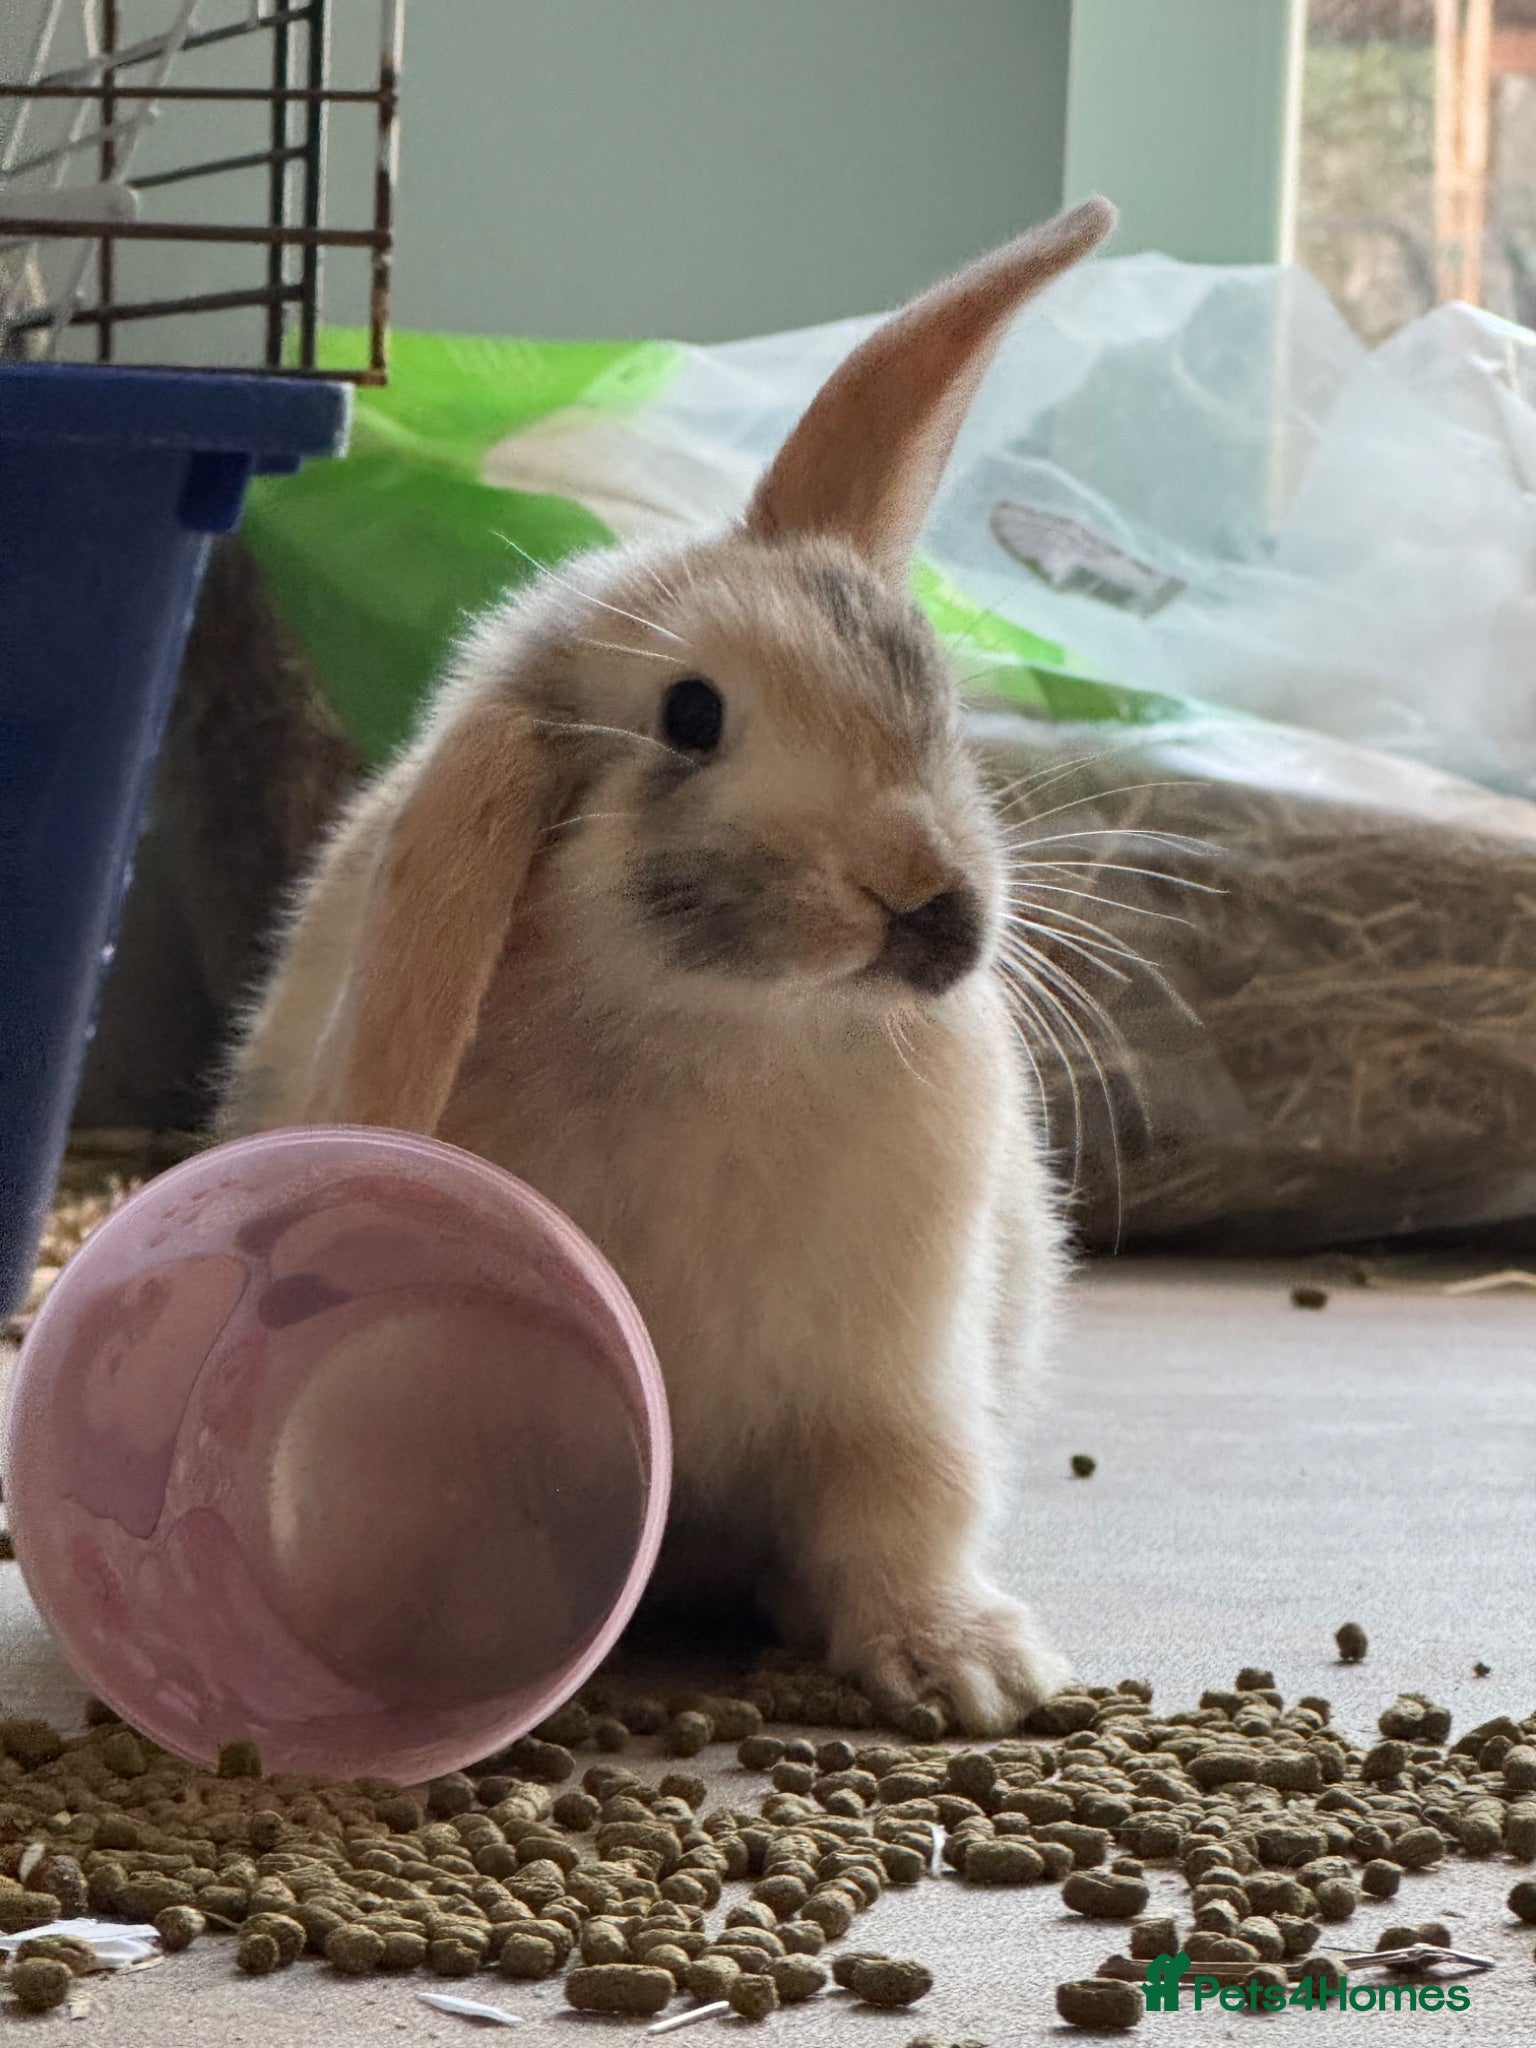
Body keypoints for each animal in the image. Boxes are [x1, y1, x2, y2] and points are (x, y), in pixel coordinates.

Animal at [221, 196, 1117, 1734]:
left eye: (928, 686)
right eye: (691, 717)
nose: (934, 903)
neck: (734, 1027)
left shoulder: (899, 1398)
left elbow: (903, 1520)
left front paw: (971, 1674)